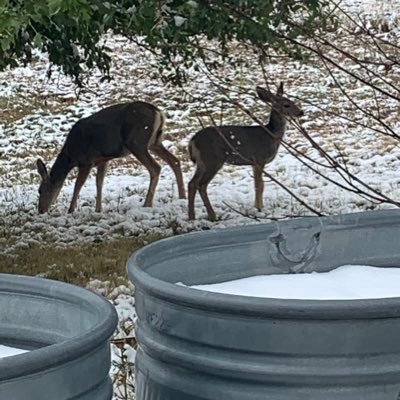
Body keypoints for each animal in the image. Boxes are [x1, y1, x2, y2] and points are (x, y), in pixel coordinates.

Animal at [36, 101, 186, 214]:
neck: (70, 156)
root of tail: (159, 112)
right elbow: (99, 183)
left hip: (136, 142)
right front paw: (98, 209)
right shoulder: (103, 160)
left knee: (155, 168)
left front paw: (71, 210)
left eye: (40, 190)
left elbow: (78, 186)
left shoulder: (86, 161)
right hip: (155, 142)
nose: (41, 210)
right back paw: (182, 196)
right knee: (175, 161)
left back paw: (147, 204)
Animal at [188, 83, 304, 222]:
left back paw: (192, 217)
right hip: (212, 159)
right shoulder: (259, 158)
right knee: (201, 184)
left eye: (292, 101)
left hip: (202, 162)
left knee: (192, 183)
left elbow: (258, 185)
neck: (271, 135)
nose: (301, 112)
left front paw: (258, 206)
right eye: (286, 105)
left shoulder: (253, 163)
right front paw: (260, 209)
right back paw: (212, 216)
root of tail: (193, 140)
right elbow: (259, 185)